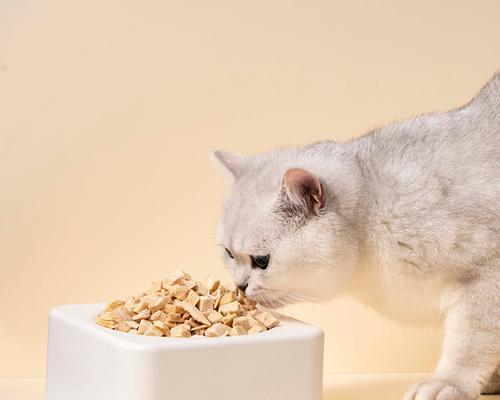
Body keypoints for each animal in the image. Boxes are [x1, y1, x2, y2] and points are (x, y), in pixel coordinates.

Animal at [214, 72, 500, 400]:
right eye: (228, 254)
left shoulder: (486, 277)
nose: (240, 286)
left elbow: (469, 343)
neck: (374, 203)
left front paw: (451, 383)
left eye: (262, 261)